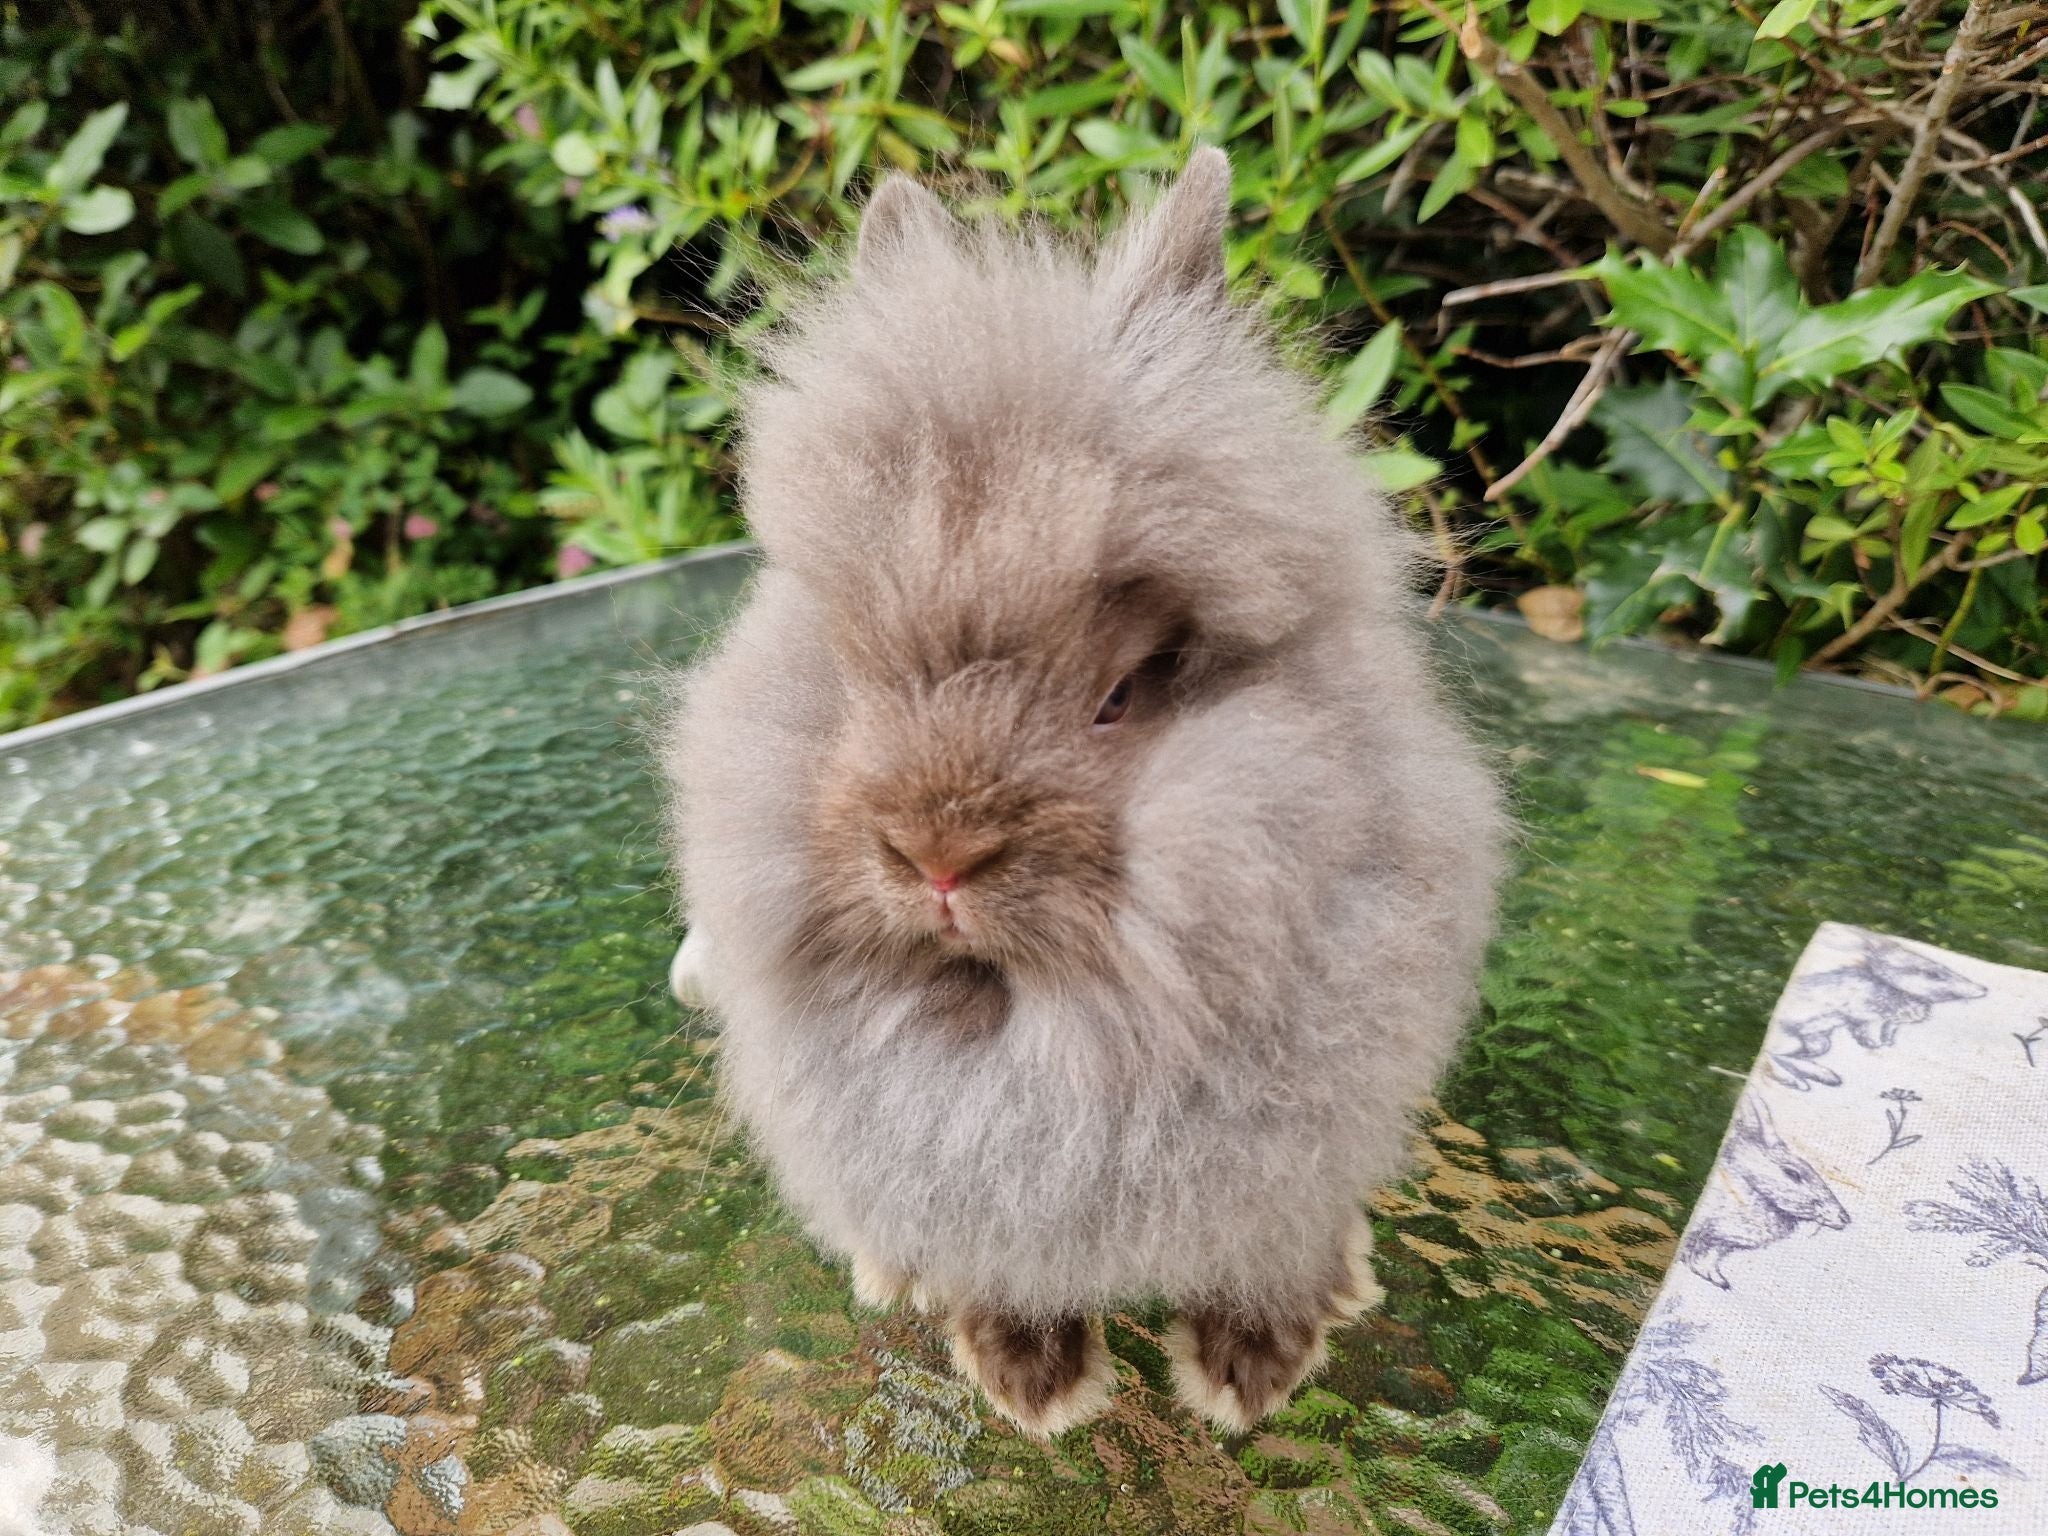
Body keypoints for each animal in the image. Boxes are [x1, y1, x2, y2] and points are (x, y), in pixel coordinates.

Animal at [659, 149, 1506, 1438]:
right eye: (854, 670)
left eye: (1119, 694)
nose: (936, 857)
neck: (1040, 1019)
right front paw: (1034, 1386)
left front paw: (1250, 1376)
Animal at [1768, 931, 1987, 1089]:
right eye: (1933, 974)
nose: (1984, 989)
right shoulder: (1862, 1014)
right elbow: (1870, 1032)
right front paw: (1876, 1046)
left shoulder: (1887, 1022)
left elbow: (1885, 1033)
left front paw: (1884, 1045)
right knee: (1777, 1057)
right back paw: (1805, 1080)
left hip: (1818, 1041)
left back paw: (1820, 1076)